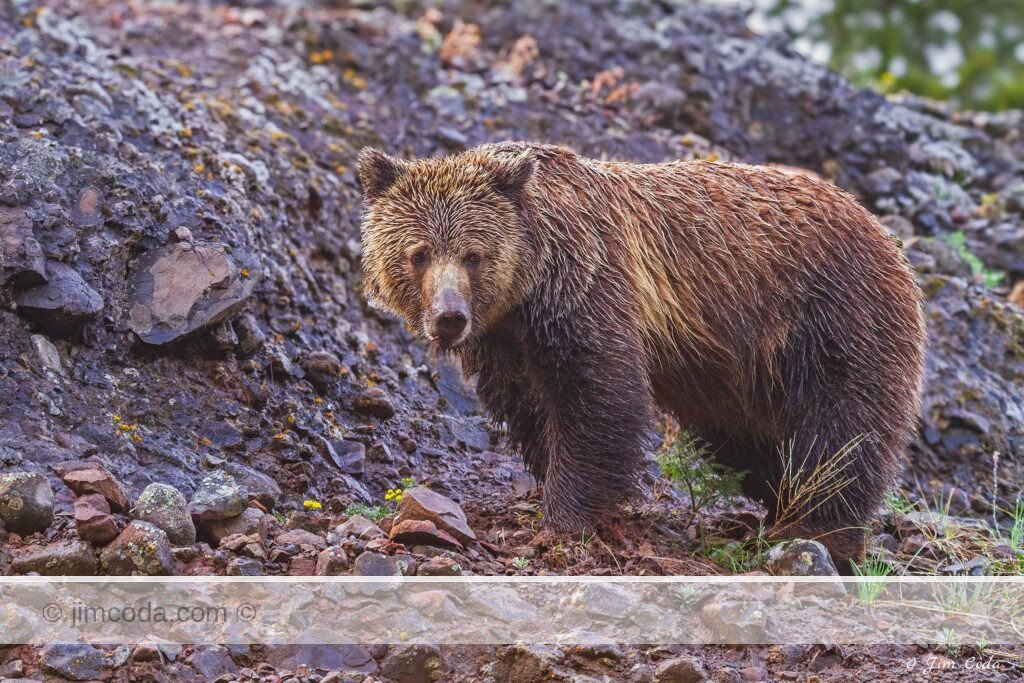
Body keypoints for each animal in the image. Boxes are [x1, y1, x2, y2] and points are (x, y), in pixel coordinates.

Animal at [357, 141, 927, 569]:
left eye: (473, 255)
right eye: (419, 252)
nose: (449, 316)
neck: (528, 287)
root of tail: (883, 232)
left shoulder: (589, 287)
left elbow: (599, 395)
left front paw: (567, 514)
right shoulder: (505, 339)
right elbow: (530, 406)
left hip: (832, 317)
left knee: (841, 429)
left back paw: (818, 531)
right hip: (736, 377)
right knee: (754, 440)